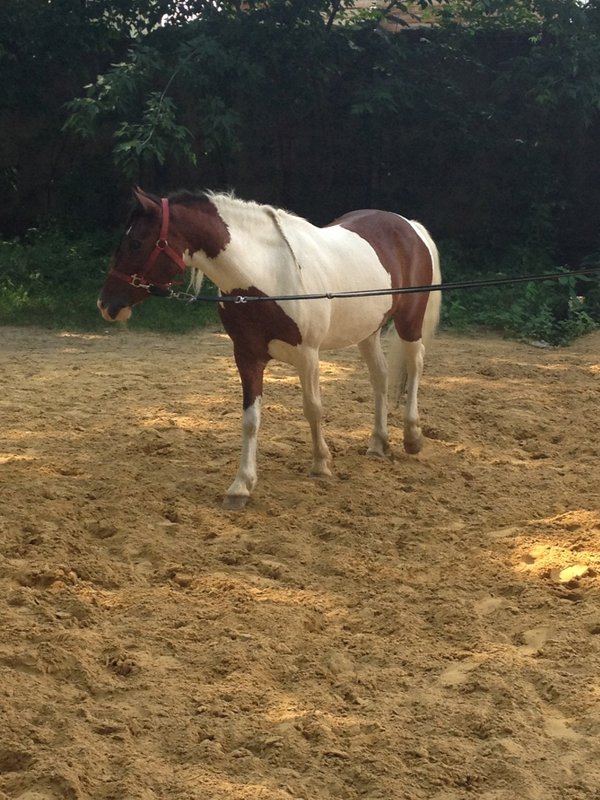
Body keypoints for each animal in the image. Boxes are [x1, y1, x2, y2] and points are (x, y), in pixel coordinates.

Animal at [98, 191, 440, 510]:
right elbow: (250, 420)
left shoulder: (308, 355)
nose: (106, 305)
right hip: (368, 331)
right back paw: (378, 444)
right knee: (380, 376)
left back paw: (412, 437)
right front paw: (240, 486)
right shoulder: (247, 357)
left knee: (416, 366)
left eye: (136, 243)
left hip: (409, 320)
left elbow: (313, 408)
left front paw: (320, 465)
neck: (265, 278)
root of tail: (410, 226)